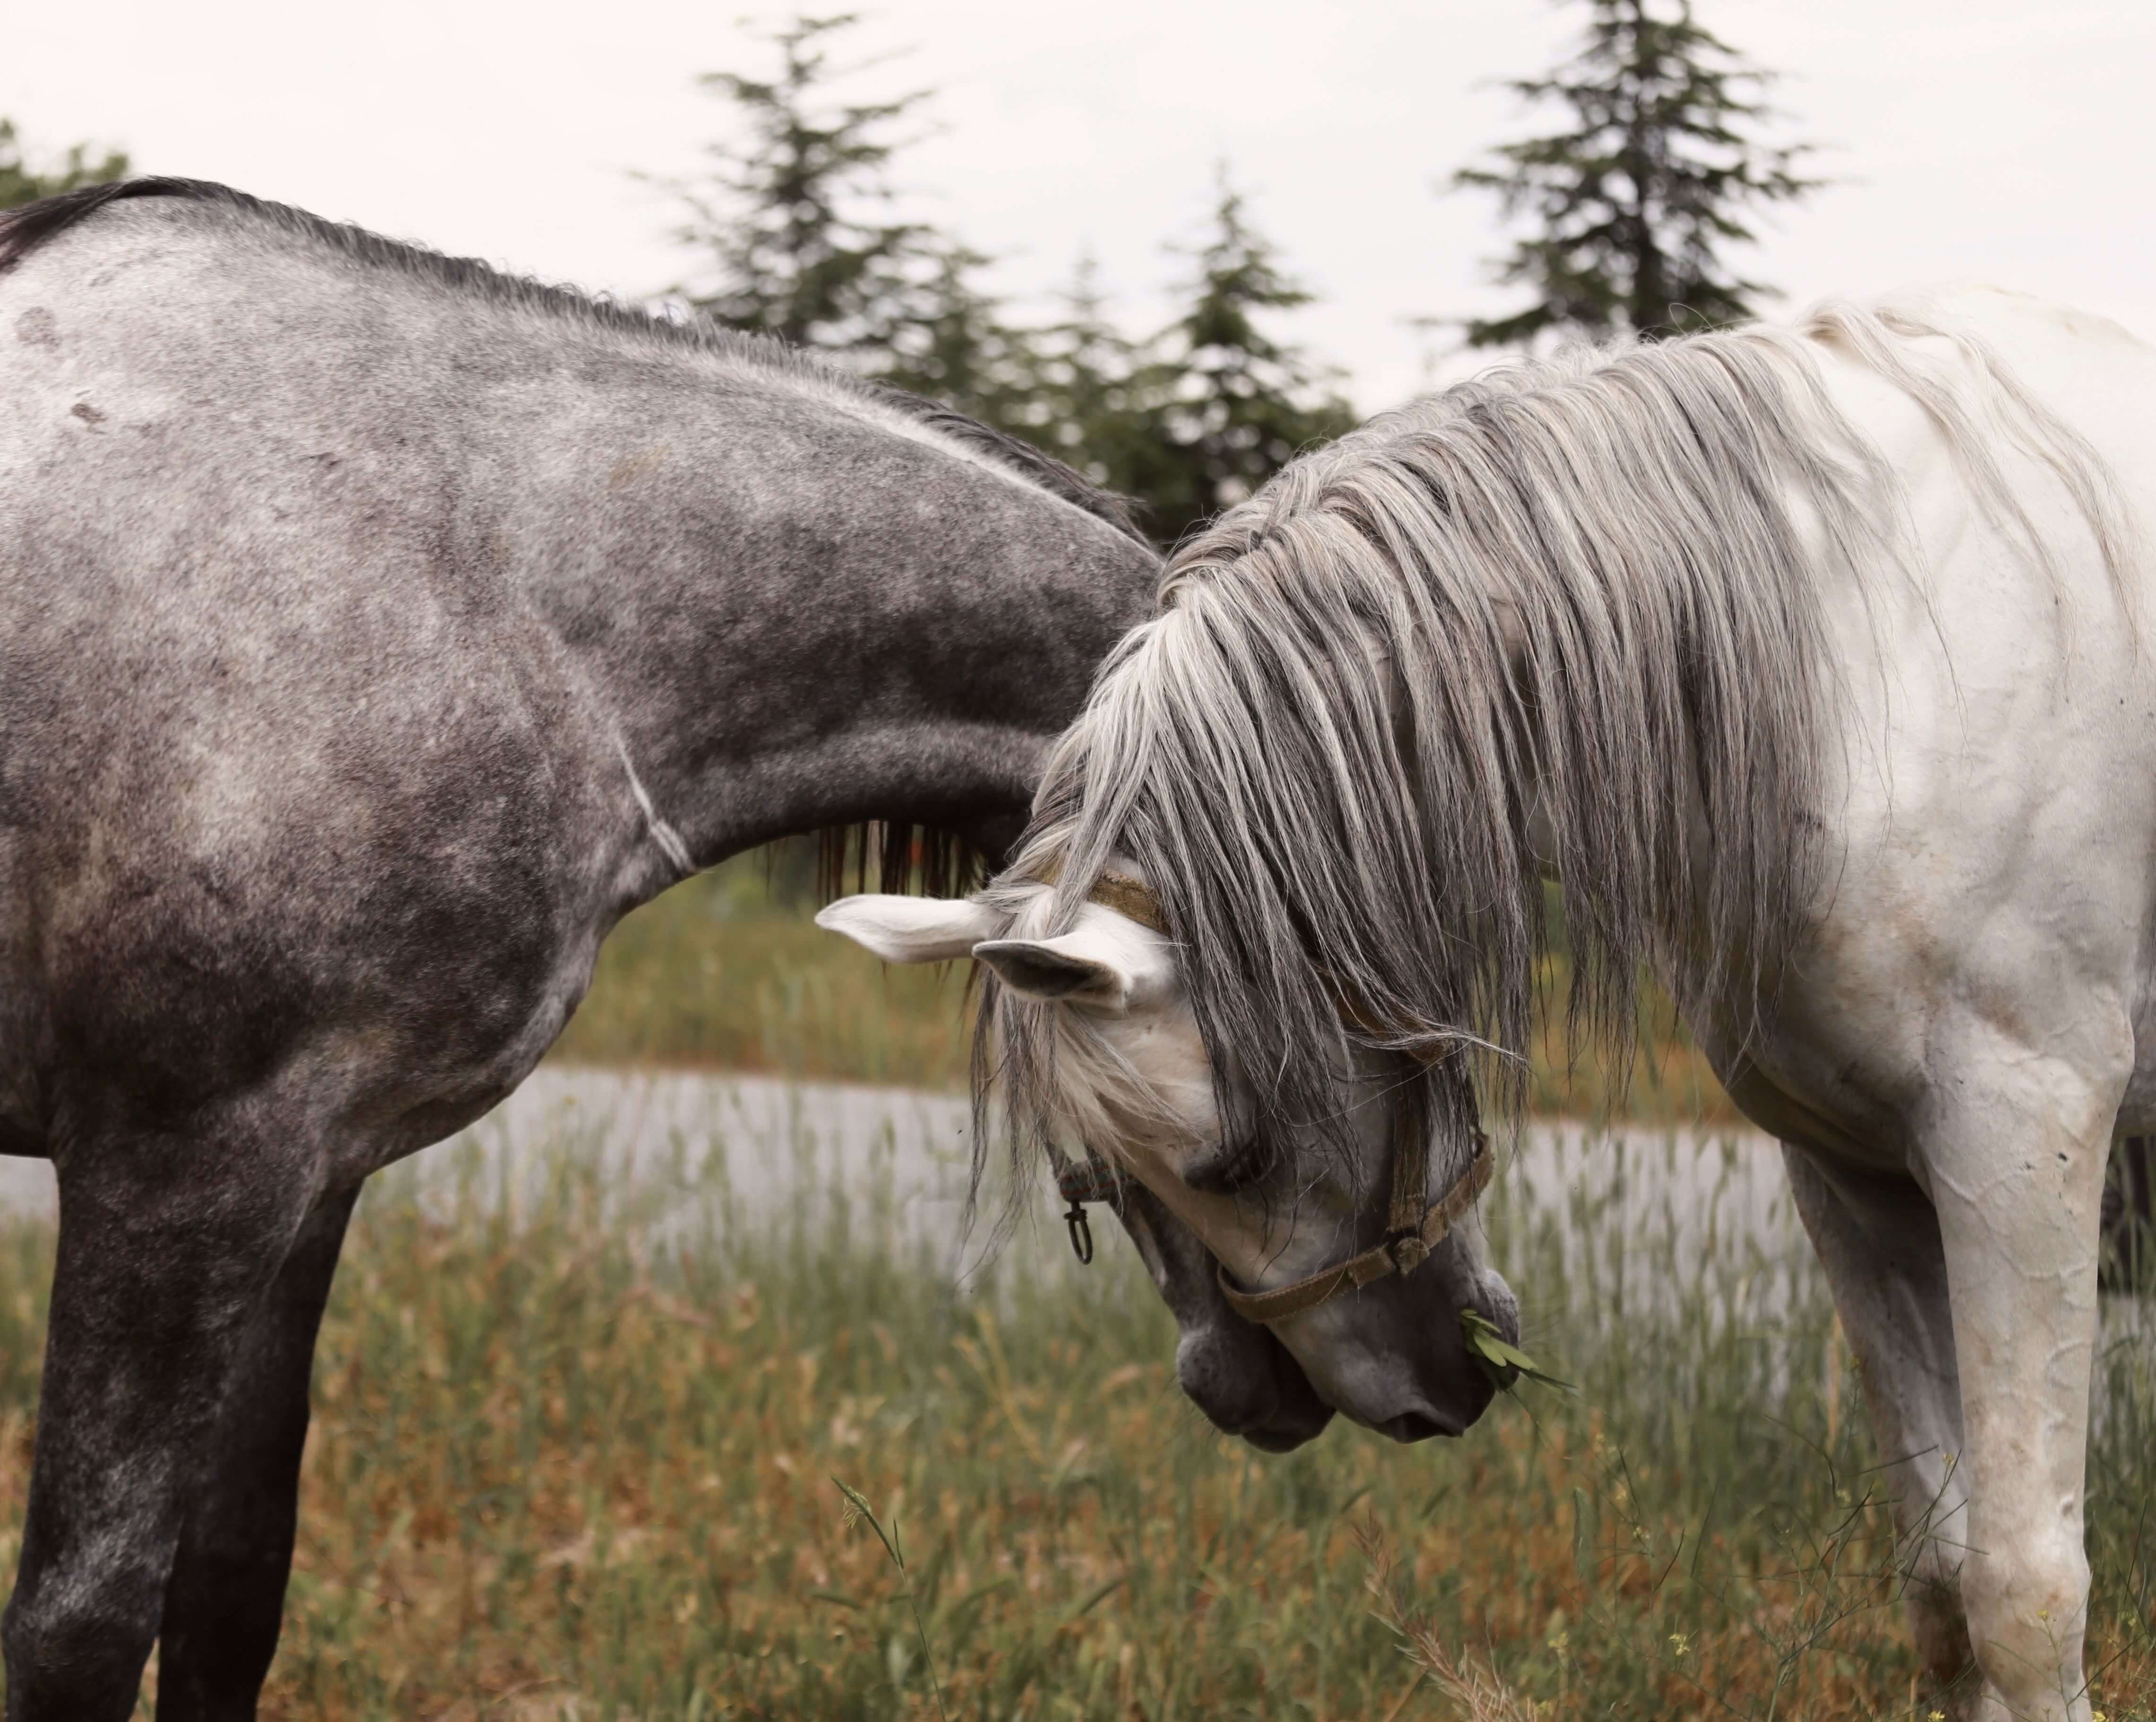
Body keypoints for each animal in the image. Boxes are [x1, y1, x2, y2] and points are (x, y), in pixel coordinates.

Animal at [819, 287, 2156, 1721]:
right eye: (1099, 1184)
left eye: (1236, 1158)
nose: (1420, 1387)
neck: (1854, 664)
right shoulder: (1857, 1175)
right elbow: (1943, 1585)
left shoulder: (2018, 1142)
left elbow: (2024, 1594)